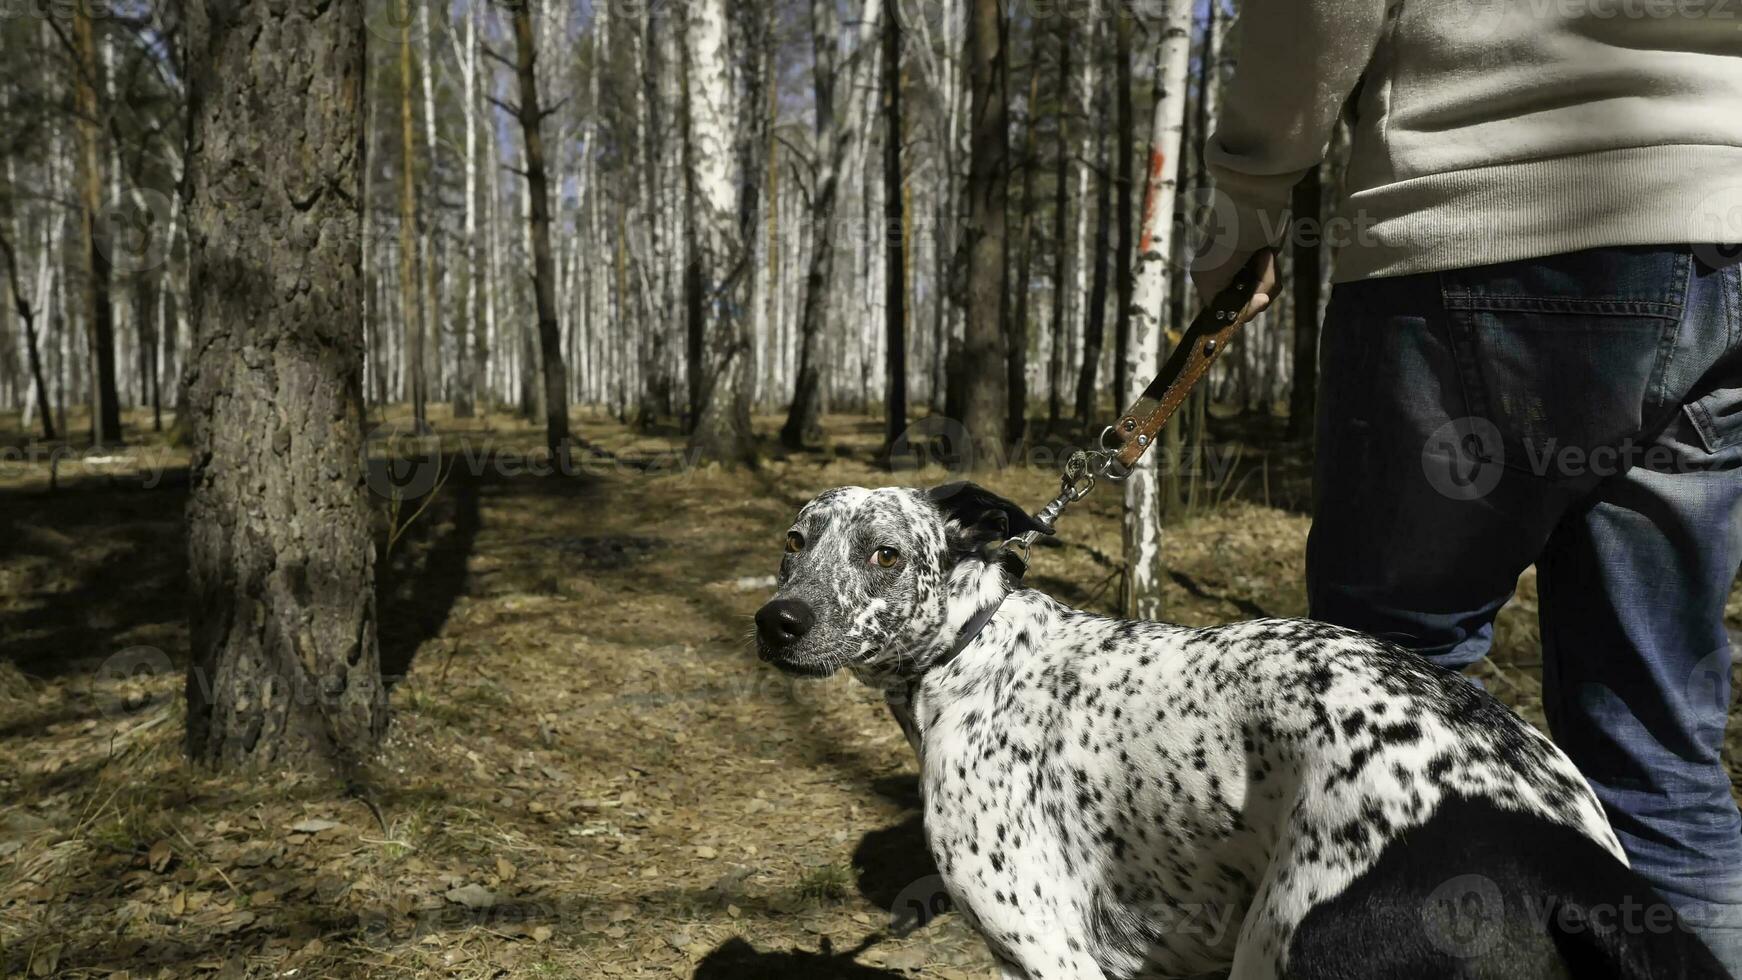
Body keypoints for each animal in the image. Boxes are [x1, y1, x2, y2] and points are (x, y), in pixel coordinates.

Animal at [749, 483, 1728, 980]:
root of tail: (1551, 845)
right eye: (794, 541)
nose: (777, 622)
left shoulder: (1053, 955)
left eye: (884, 554)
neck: (976, 650)